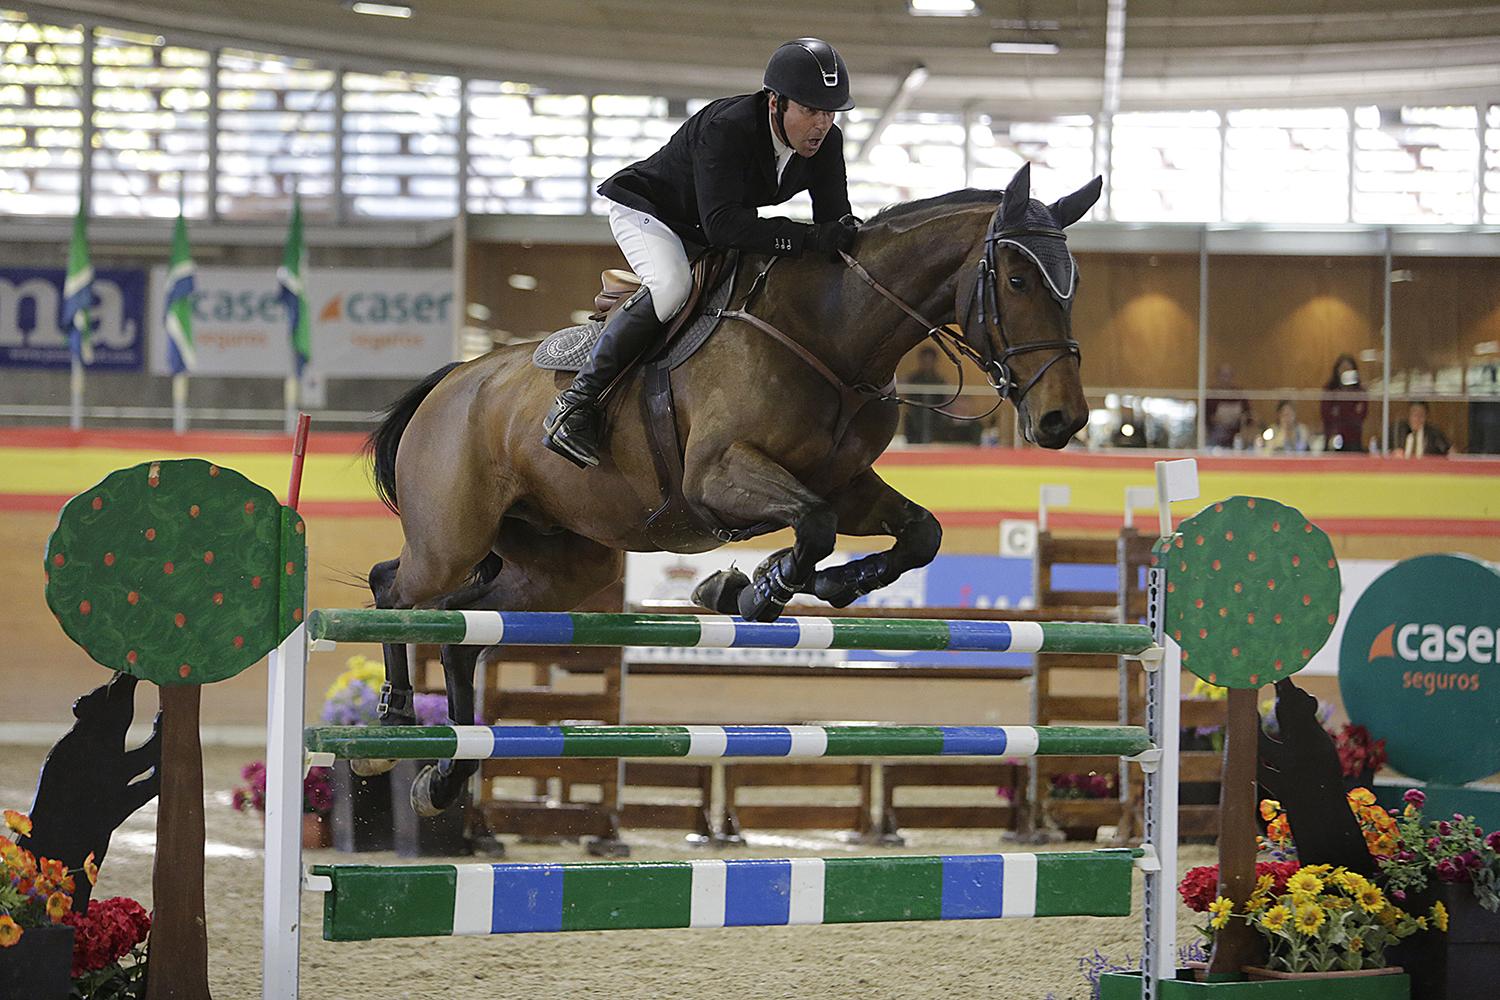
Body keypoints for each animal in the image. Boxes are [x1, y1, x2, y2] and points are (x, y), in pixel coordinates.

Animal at [352, 162, 1104, 815]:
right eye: (1016, 278)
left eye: (1072, 285)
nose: (1063, 420)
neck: (832, 336)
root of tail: (452, 380)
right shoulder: (718, 475)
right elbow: (814, 526)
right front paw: (756, 588)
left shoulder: (847, 484)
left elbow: (915, 534)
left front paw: (767, 586)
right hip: (451, 537)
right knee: (396, 588)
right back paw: (387, 728)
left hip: (562, 567)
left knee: (461, 632)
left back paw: (445, 778)